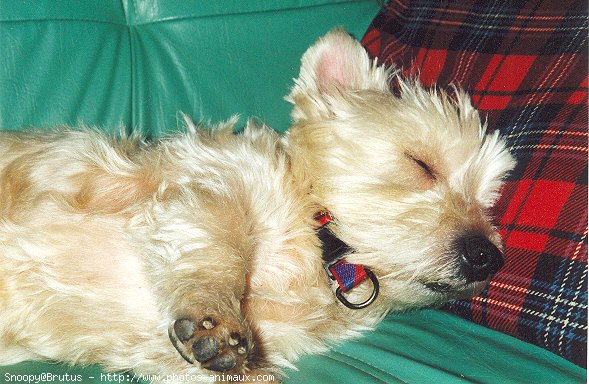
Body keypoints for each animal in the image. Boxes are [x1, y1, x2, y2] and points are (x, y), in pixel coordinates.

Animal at [0, 30, 512, 384]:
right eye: (421, 164)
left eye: (490, 200)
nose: (487, 256)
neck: (315, 255)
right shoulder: (208, 181)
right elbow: (219, 241)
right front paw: (213, 314)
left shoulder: (158, 350)